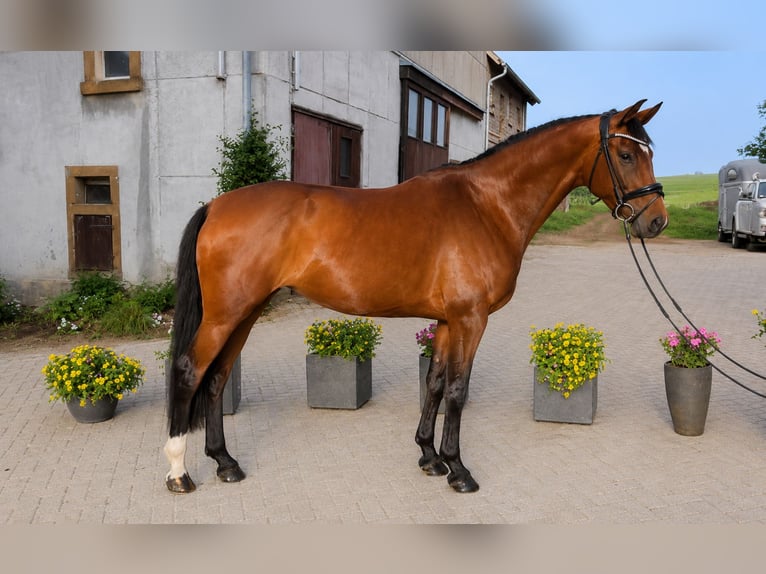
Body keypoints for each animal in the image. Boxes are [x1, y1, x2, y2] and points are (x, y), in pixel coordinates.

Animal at [164, 99, 667, 494]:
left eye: (648, 152)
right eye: (625, 153)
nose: (656, 220)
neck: (486, 206)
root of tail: (215, 206)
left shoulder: (446, 320)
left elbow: (436, 383)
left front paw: (430, 457)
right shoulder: (471, 319)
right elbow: (458, 390)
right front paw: (459, 470)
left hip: (246, 312)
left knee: (217, 378)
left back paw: (225, 463)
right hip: (225, 315)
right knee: (191, 371)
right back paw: (178, 473)